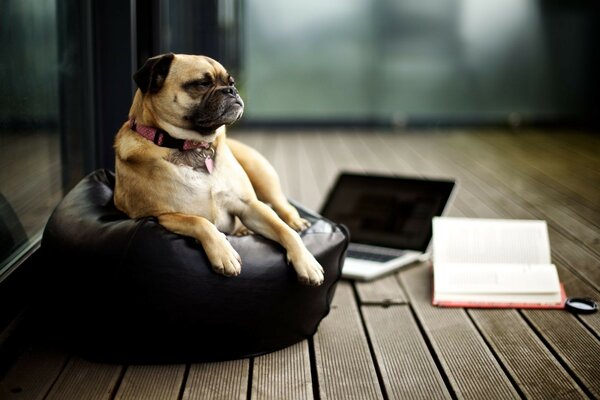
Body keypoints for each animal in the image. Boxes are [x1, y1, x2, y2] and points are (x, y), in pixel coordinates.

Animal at [114, 53, 326, 286]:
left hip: (262, 176)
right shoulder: (165, 216)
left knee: (283, 207)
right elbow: (201, 222)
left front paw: (307, 262)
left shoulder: (250, 206)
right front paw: (225, 254)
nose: (232, 90)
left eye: (231, 82)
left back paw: (295, 221)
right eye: (202, 84)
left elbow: (284, 230)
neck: (193, 145)